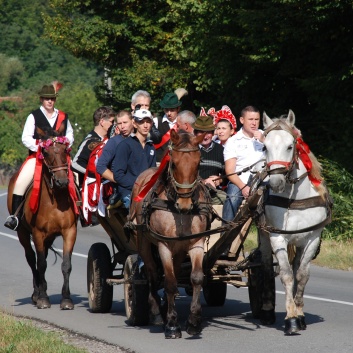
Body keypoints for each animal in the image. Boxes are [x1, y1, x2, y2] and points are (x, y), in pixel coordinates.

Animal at [7, 123, 77, 308]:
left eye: (65, 149)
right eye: (45, 152)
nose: (62, 182)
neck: (55, 201)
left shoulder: (69, 231)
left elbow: (66, 264)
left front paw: (66, 299)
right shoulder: (37, 233)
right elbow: (41, 264)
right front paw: (43, 298)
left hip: (49, 236)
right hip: (23, 233)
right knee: (32, 259)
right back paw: (36, 294)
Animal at [129, 129, 212, 338]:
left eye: (198, 163)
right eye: (173, 163)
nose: (185, 204)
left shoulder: (195, 243)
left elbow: (196, 278)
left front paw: (193, 322)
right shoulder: (164, 245)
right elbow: (170, 282)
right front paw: (172, 325)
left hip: (179, 249)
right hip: (143, 243)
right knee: (152, 274)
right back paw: (157, 313)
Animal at [256, 109, 330, 332]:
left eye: (290, 146)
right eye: (265, 146)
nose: (275, 182)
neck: (295, 199)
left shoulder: (312, 239)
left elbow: (301, 275)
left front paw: (300, 314)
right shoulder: (277, 237)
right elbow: (286, 274)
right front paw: (291, 318)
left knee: (297, 267)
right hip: (264, 237)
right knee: (265, 269)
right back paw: (267, 311)